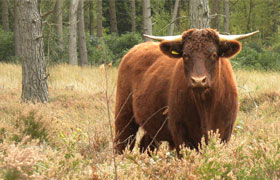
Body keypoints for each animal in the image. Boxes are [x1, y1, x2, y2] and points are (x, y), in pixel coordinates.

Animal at [114, 28, 258, 158]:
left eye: (213, 54)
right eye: (185, 55)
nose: (198, 81)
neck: (206, 107)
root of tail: (134, 49)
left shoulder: (225, 132)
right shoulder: (180, 133)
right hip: (124, 116)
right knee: (122, 144)